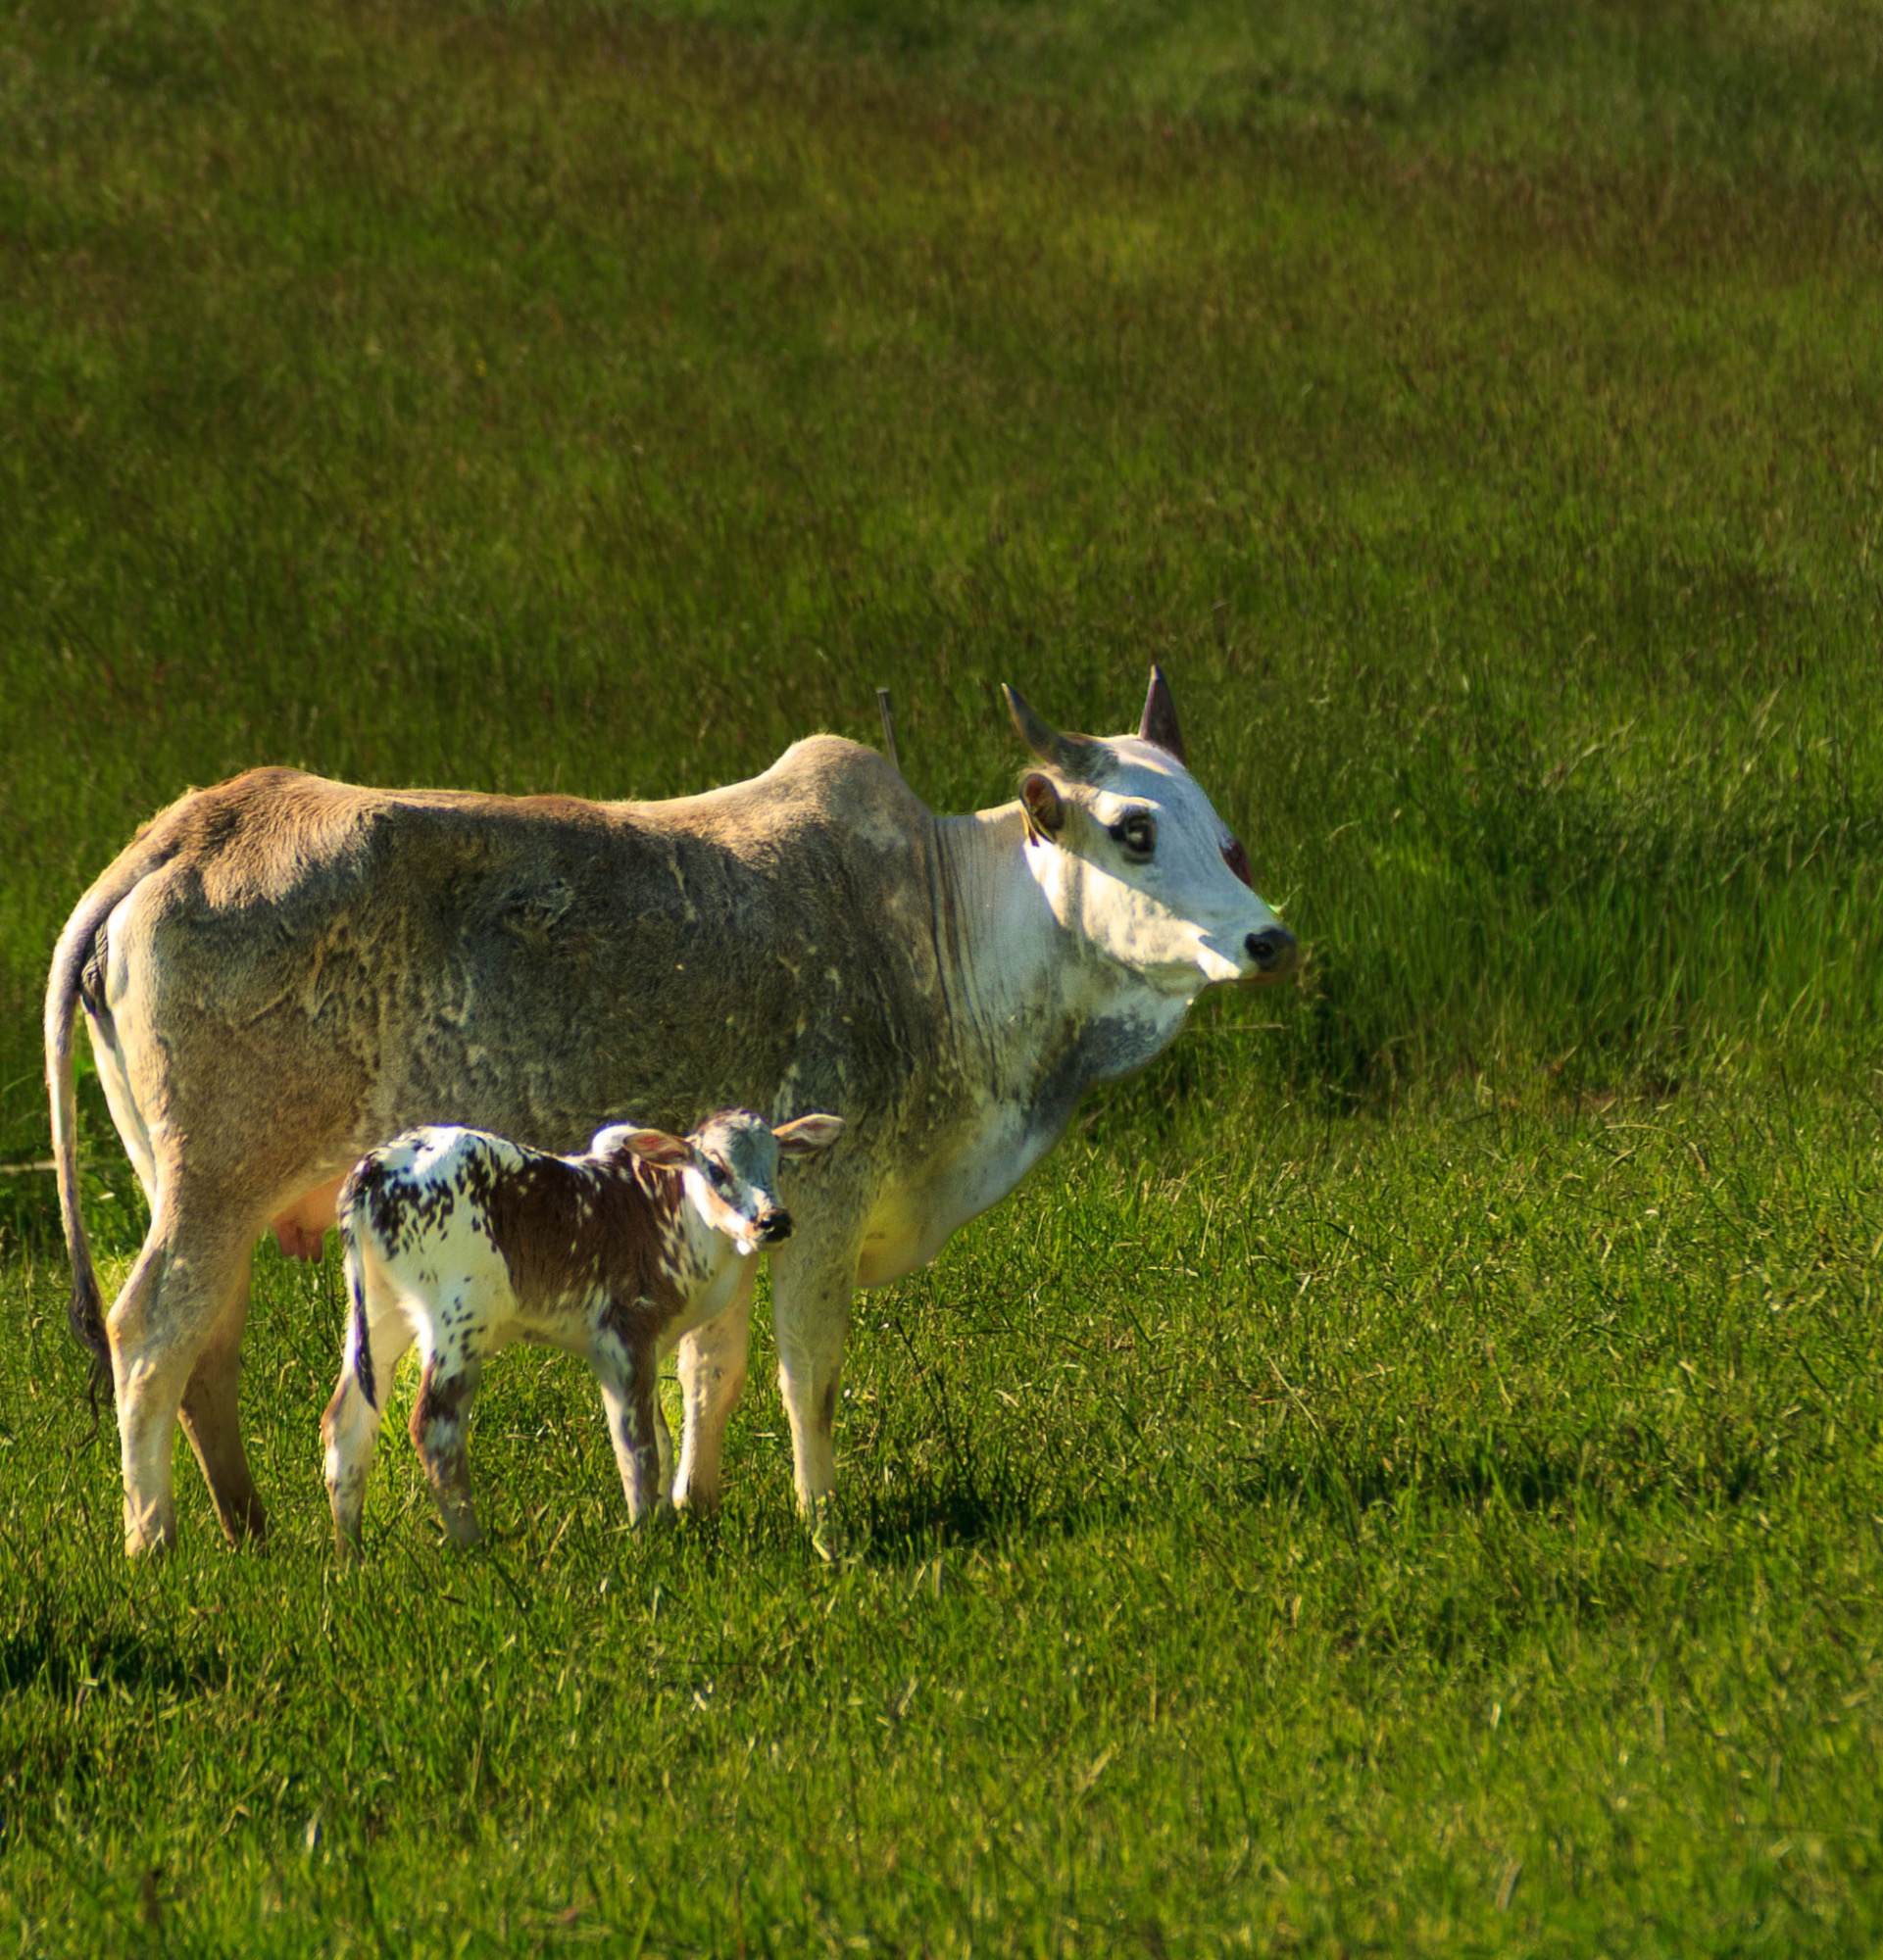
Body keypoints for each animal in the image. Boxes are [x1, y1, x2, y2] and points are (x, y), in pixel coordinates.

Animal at [323, 1108, 844, 1549]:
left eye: (777, 1162)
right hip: (459, 1316)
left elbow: (658, 1437)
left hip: (380, 1312)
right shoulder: (624, 1333)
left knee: (347, 1422)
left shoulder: (641, 1347)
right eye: (715, 1168)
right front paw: (646, 1543)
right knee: (434, 1423)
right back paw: (475, 1549)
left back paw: (351, 1558)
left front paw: (663, 1526)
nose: (773, 1221)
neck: (672, 1219)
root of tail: (381, 1161)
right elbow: (638, 1446)